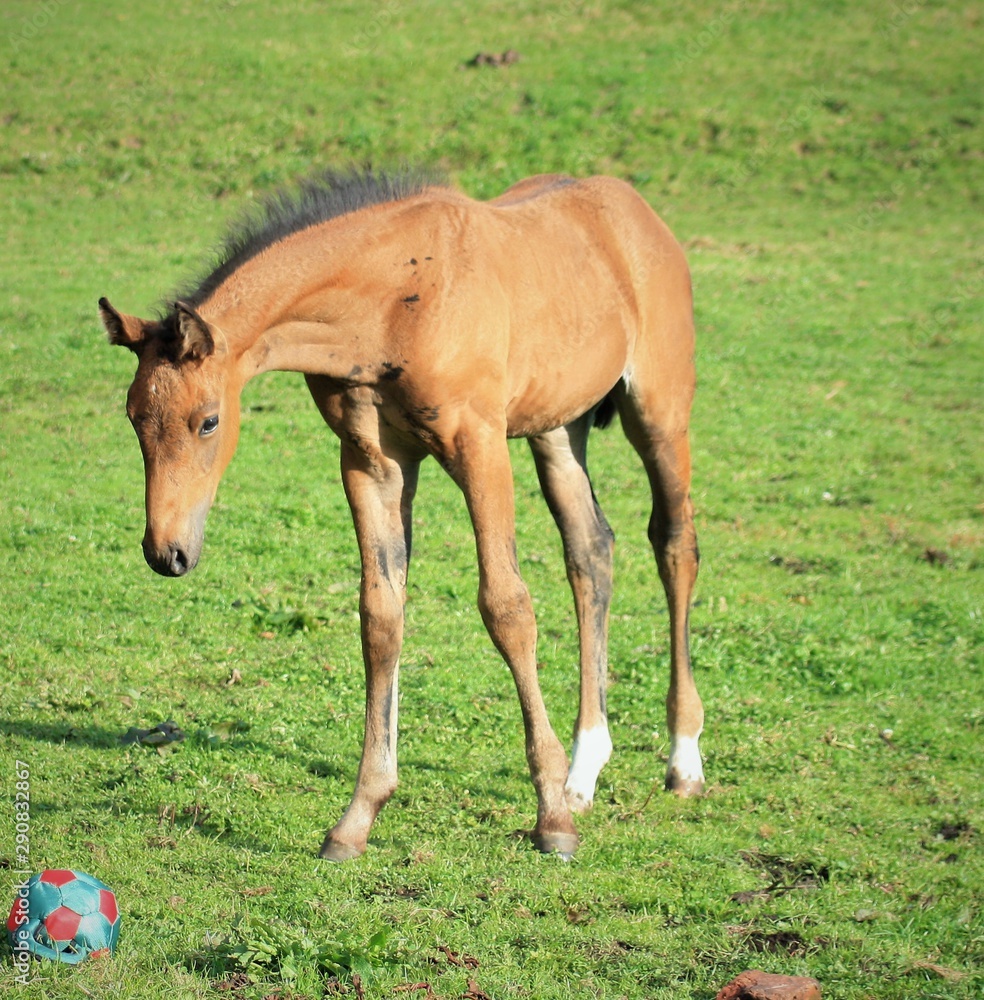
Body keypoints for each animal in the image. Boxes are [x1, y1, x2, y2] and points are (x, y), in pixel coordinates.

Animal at [99, 167, 705, 861]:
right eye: (133, 417)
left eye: (208, 421)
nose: (166, 552)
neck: (394, 301)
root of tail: (638, 212)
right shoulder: (372, 462)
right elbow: (382, 617)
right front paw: (357, 817)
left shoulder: (480, 444)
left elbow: (507, 607)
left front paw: (551, 821)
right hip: (557, 426)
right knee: (591, 551)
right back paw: (585, 771)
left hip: (659, 411)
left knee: (674, 545)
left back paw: (682, 761)